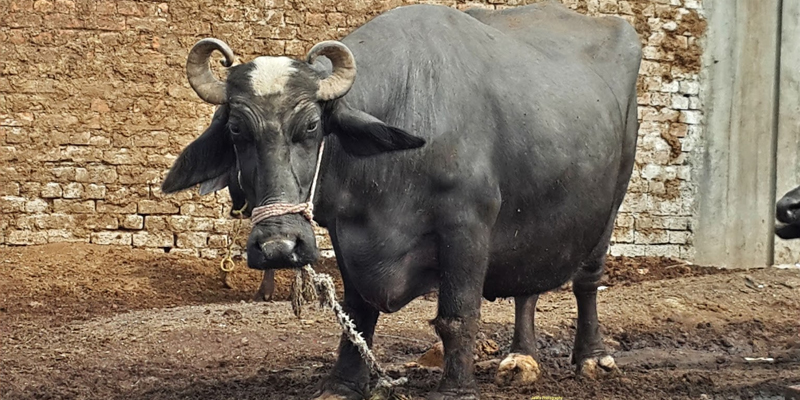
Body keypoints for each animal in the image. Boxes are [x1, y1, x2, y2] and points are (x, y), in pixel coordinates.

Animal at [160, 3, 642, 399]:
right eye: (236, 129)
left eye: (313, 124)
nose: (279, 246)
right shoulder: (347, 234)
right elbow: (357, 313)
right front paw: (343, 384)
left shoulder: (467, 226)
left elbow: (457, 315)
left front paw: (455, 388)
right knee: (528, 284)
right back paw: (521, 358)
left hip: (612, 202)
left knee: (586, 279)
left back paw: (592, 358)